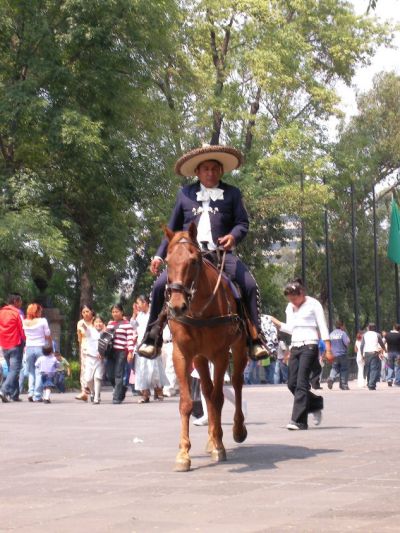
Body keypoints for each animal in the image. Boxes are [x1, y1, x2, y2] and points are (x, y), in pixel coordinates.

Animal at [164, 222, 248, 472]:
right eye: (167, 261)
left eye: (193, 261)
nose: (177, 306)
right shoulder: (182, 354)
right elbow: (186, 403)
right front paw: (183, 453)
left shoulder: (220, 354)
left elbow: (219, 397)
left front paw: (220, 446)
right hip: (200, 358)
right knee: (207, 390)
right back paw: (211, 438)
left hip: (239, 348)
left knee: (236, 383)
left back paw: (236, 430)